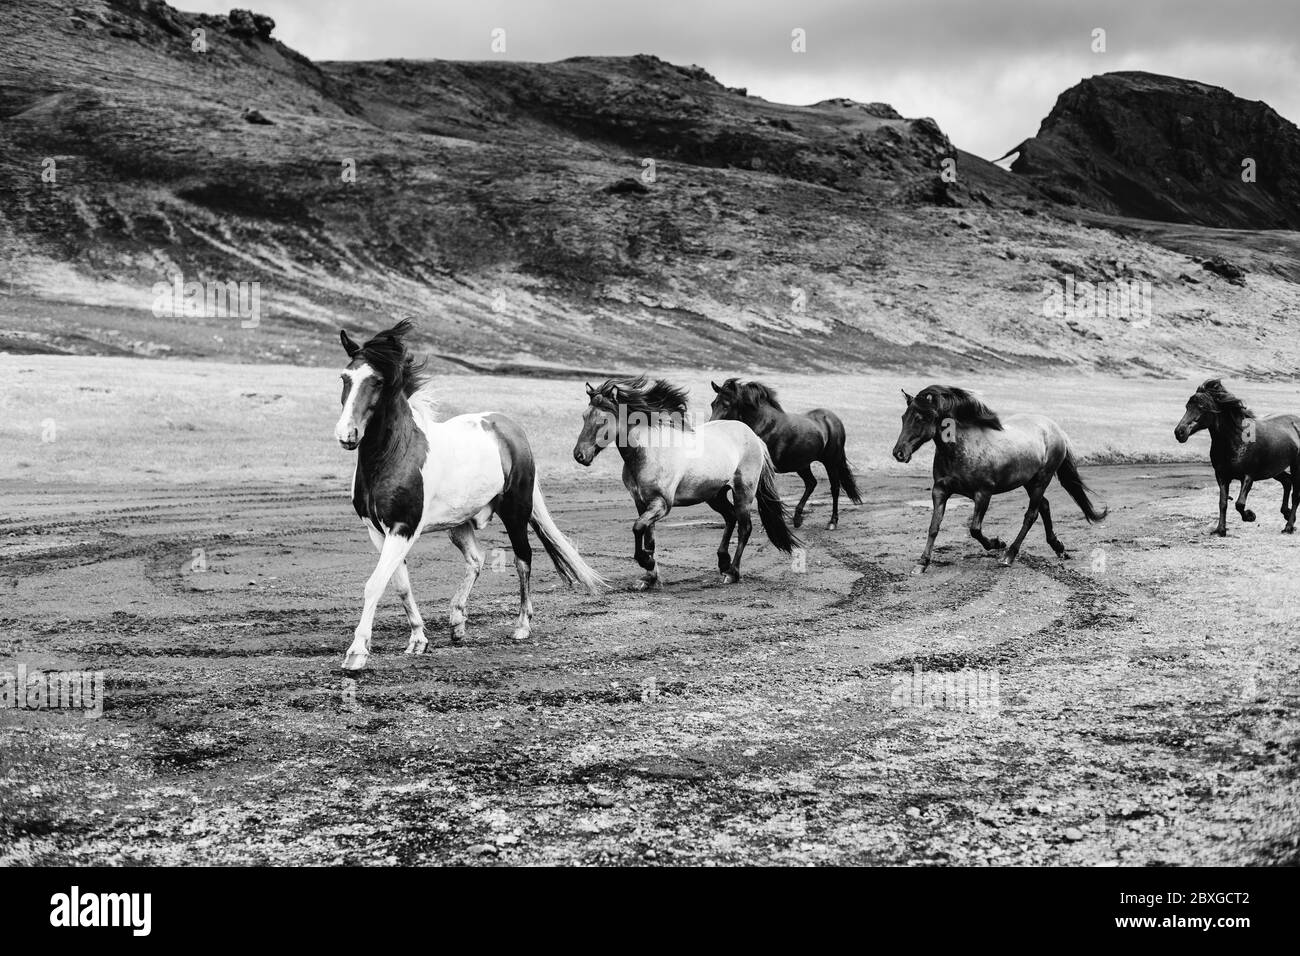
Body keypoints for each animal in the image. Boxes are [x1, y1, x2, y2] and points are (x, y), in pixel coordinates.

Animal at [334, 320, 604, 670]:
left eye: (377, 380)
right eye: (345, 377)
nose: (346, 435)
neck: (393, 455)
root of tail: (509, 428)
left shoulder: (403, 529)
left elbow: (375, 584)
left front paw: (357, 653)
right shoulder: (378, 532)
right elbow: (400, 584)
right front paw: (418, 640)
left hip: (515, 512)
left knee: (523, 559)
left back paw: (521, 626)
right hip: (459, 522)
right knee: (476, 559)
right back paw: (457, 622)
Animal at [572, 376, 801, 589]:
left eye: (602, 420)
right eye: (583, 417)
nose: (579, 455)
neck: (647, 452)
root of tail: (752, 436)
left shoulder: (662, 504)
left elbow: (637, 528)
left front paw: (646, 562)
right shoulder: (642, 503)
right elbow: (648, 538)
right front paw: (649, 578)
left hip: (743, 492)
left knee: (745, 527)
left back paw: (732, 573)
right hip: (714, 495)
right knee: (730, 517)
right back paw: (723, 561)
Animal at [708, 379, 862, 530]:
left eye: (726, 405)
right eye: (713, 404)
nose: (711, 428)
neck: (764, 425)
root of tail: (833, 419)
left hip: (830, 462)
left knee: (834, 488)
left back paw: (832, 522)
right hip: (802, 465)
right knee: (811, 483)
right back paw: (797, 518)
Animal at [891, 385, 1107, 573]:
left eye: (920, 418)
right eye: (903, 417)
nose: (898, 453)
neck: (961, 449)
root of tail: (1055, 429)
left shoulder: (983, 494)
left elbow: (975, 529)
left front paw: (997, 543)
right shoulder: (940, 491)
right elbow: (933, 527)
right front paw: (922, 563)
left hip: (1041, 480)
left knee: (1031, 515)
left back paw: (1009, 555)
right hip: (1029, 482)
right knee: (1044, 506)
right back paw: (1058, 548)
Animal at [1174, 378, 1300, 535]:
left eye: (1202, 407)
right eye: (1187, 406)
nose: (1179, 432)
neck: (1236, 440)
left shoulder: (1248, 476)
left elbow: (1239, 503)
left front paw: (1250, 516)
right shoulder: (1222, 476)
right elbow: (1223, 503)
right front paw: (1220, 530)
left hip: (1295, 466)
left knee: (1296, 494)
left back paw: (1288, 526)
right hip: (1274, 469)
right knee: (1287, 482)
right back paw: (1287, 514)